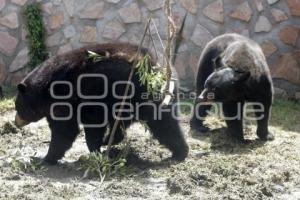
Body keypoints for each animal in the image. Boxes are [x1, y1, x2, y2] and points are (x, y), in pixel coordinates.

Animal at [14, 43, 188, 163]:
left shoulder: (65, 96)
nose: (15, 122)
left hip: (139, 93)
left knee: (162, 123)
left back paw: (179, 153)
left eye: (18, 107)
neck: (44, 89)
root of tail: (159, 68)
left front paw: (45, 158)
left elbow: (66, 129)